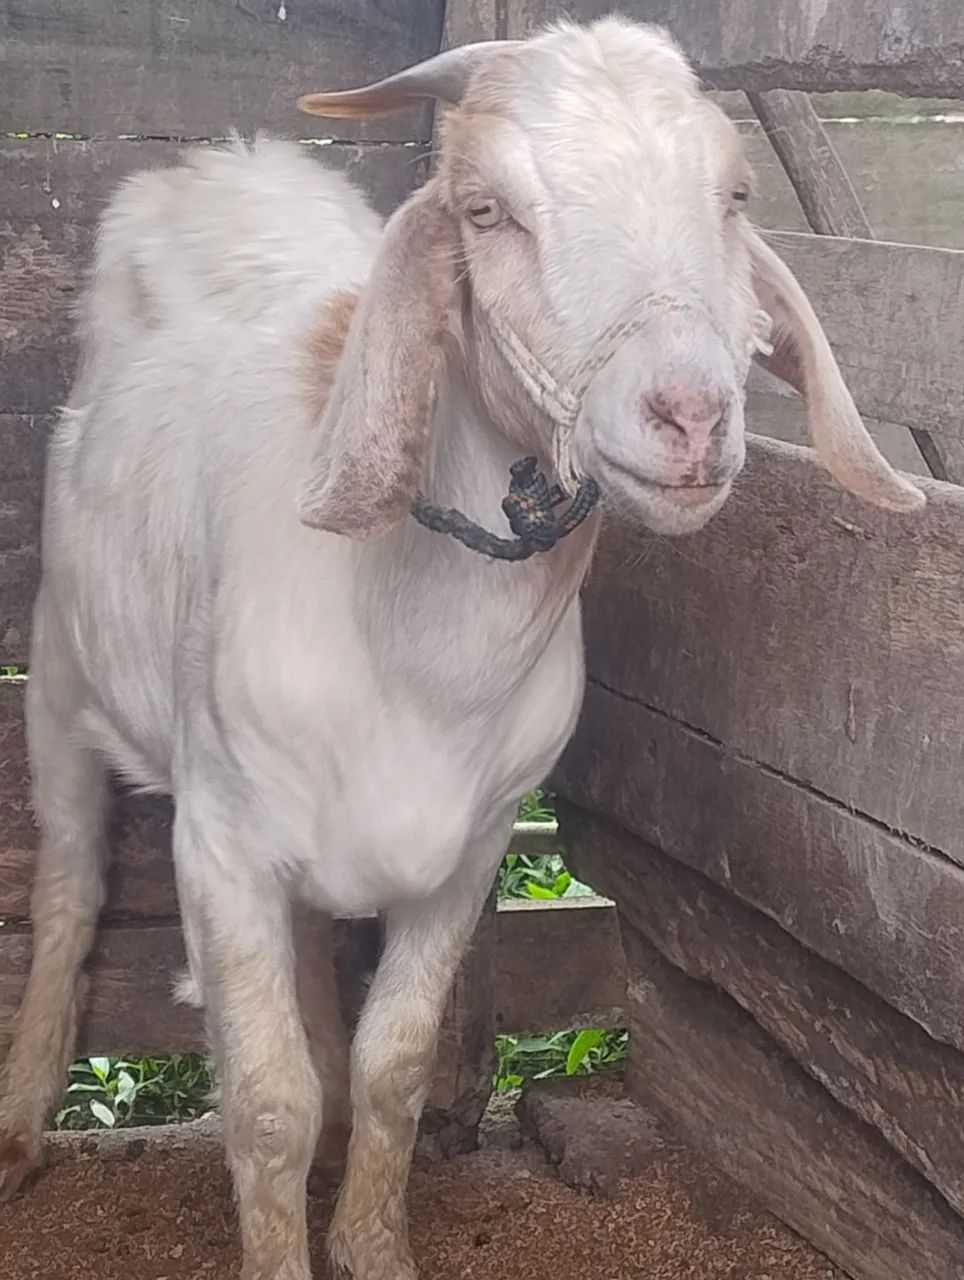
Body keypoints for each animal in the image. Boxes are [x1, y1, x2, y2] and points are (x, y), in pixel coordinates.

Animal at [0, 18, 923, 1280]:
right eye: (485, 209)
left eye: (734, 194)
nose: (690, 416)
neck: (413, 650)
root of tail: (229, 163)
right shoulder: (219, 845)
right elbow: (265, 1100)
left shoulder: (469, 849)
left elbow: (394, 1062)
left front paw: (371, 1238)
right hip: (58, 677)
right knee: (70, 890)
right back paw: (21, 1115)